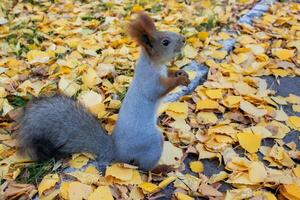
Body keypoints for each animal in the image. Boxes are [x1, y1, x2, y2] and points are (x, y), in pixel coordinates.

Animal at [14, 12, 190, 170]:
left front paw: (181, 73)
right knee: (144, 167)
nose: (183, 39)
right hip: (151, 143)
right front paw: (180, 80)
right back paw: (162, 169)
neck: (154, 64)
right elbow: (158, 90)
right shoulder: (148, 81)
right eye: (165, 42)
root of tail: (117, 151)